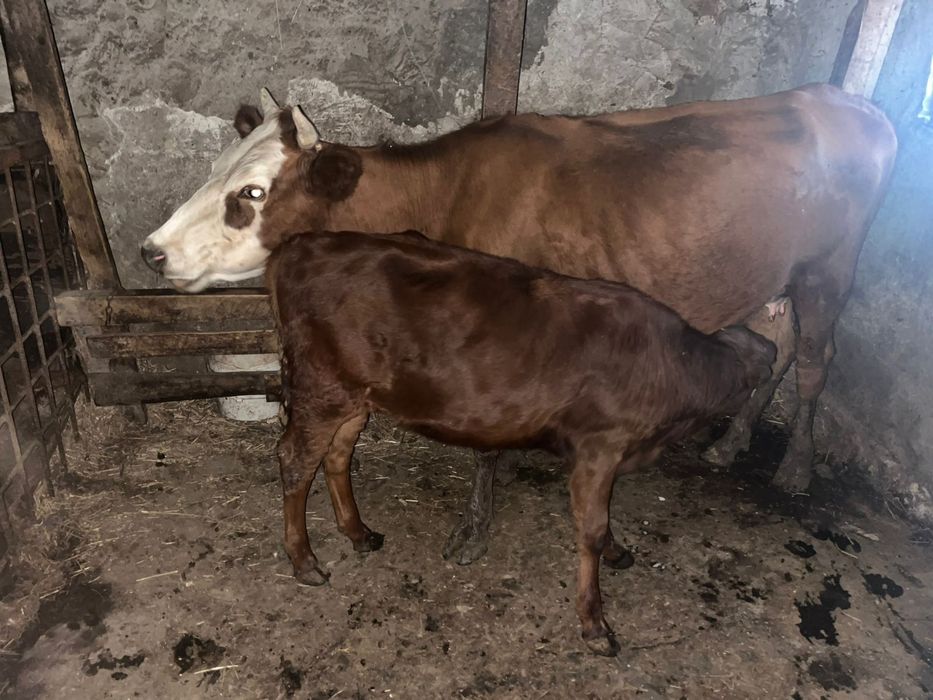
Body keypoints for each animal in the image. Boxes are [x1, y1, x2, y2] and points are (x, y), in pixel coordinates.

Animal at [140, 84, 897, 566]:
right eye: (215, 170)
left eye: (252, 192)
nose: (152, 249)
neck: (444, 194)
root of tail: (849, 102)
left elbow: (487, 447)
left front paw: (474, 531)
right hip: (774, 277)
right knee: (777, 348)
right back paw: (730, 444)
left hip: (832, 267)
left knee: (815, 360)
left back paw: (794, 468)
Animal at [268, 228, 777, 656]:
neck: (672, 365)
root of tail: (298, 245)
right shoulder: (600, 446)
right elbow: (591, 529)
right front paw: (594, 624)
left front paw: (616, 553)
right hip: (321, 387)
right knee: (295, 460)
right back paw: (305, 561)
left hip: (356, 396)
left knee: (338, 455)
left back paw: (359, 532)